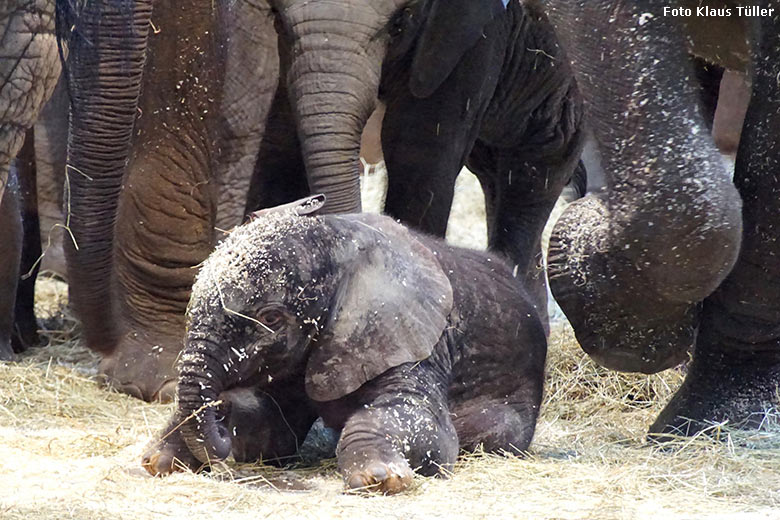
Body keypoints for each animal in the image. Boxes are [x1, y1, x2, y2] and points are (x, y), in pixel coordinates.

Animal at [143, 194, 544, 492]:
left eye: (271, 319)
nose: (219, 426)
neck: (339, 236)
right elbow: (272, 430)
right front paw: (158, 461)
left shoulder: (410, 337)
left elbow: (418, 423)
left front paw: (379, 479)